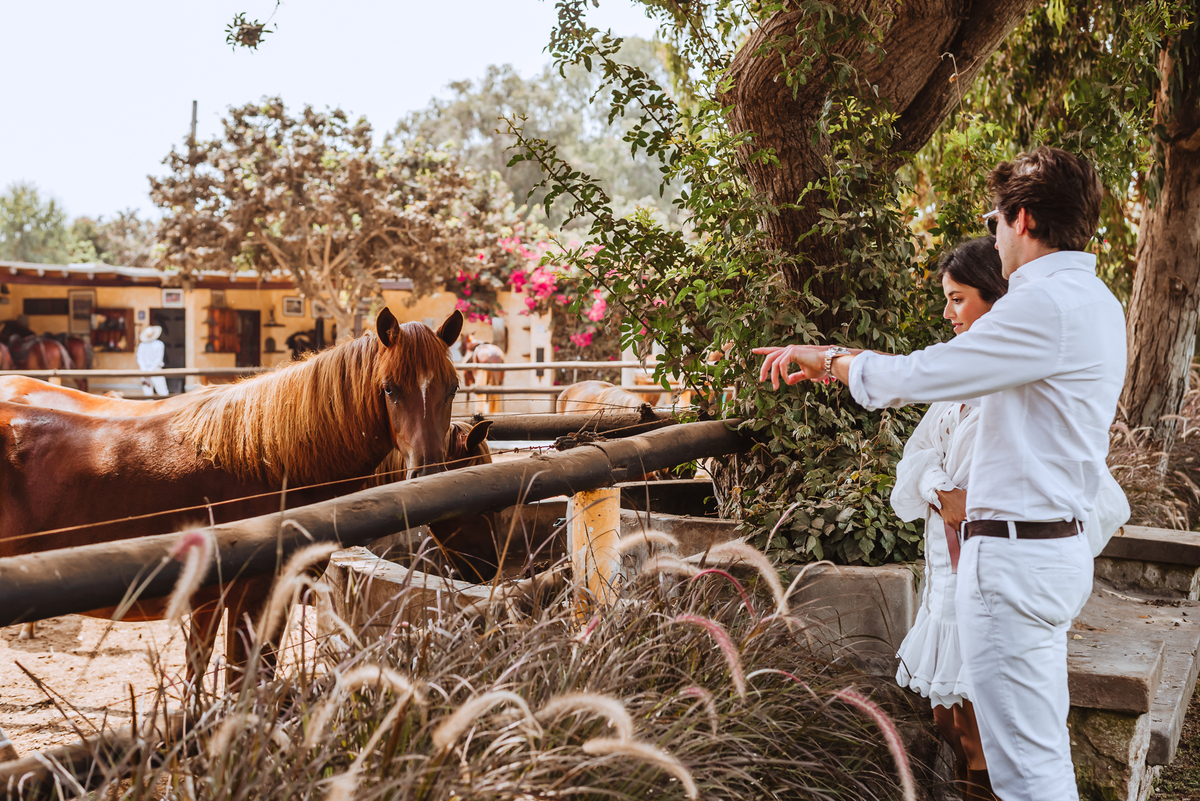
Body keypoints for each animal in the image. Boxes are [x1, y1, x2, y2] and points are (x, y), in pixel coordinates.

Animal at [0, 307, 463, 692]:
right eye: (390, 389)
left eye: (453, 388)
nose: (428, 474)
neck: (268, 462)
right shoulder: (247, 599)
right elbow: (238, 684)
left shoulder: (240, 601)